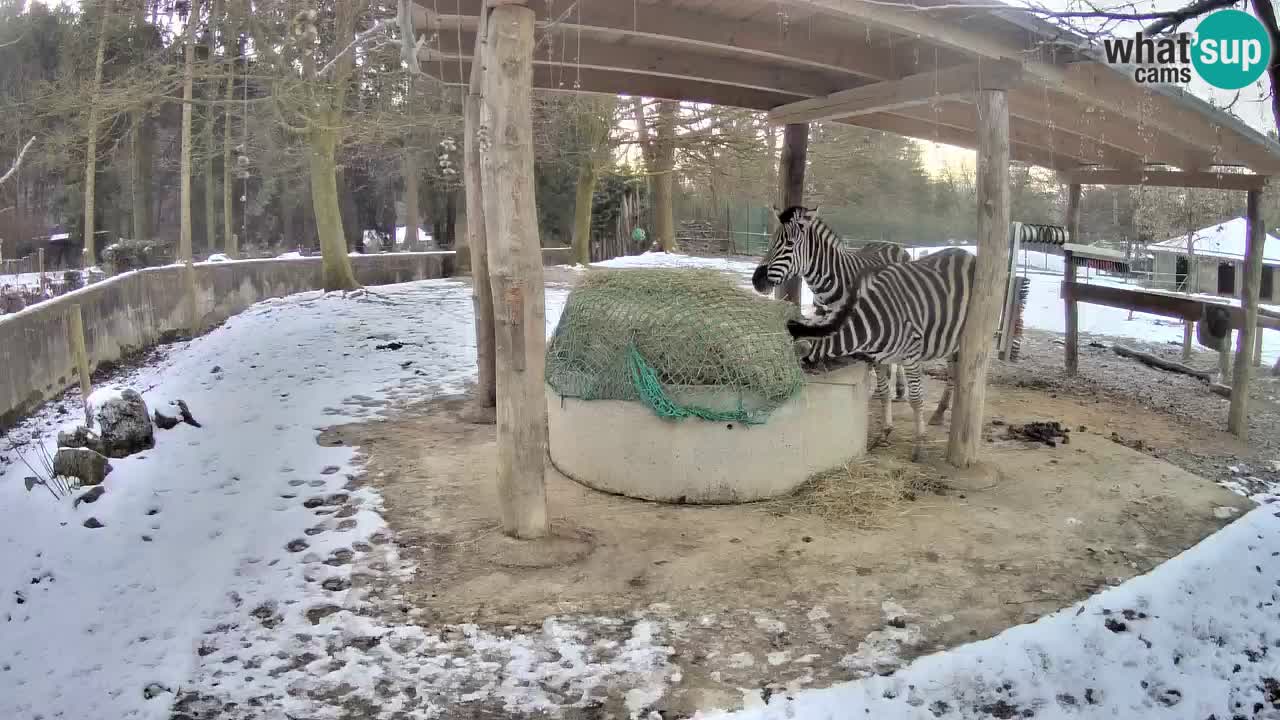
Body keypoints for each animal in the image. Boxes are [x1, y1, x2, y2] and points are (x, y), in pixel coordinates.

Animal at [747, 204, 911, 399]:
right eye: (770, 242)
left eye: (789, 244)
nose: (757, 281)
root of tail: (893, 245)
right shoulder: (822, 314)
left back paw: (899, 388)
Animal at [783, 245, 972, 458]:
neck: (871, 322)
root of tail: (967, 253)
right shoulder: (880, 358)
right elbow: (883, 393)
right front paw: (884, 434)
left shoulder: (911, 355)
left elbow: (916, 399)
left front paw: (919, 446)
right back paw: (940, 412)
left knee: (957, 374)